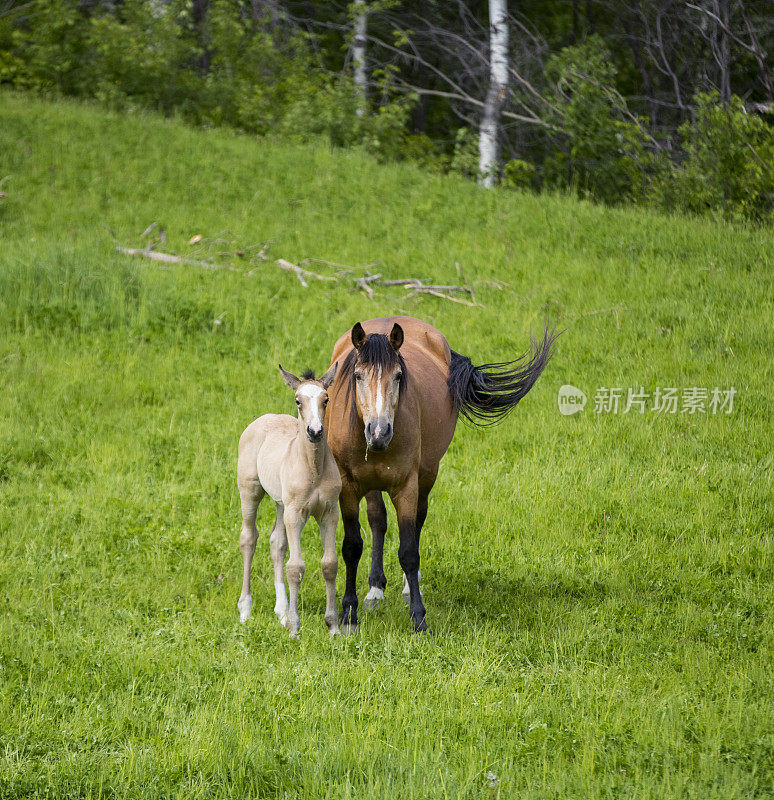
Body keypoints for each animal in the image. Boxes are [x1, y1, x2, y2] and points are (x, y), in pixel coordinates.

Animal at [238, 362, 342, 636]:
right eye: (298, 401)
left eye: (326, 399)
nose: (315, 432)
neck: (313, 468)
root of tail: (264, 418)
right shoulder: (296, 514)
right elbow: (295, 567)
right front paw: (295, 629)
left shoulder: (329, 513)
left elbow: (329, 564)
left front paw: (333, 626)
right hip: (250, 491)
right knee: (248, 538)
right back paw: (245, 609)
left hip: (280, 503)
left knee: (277, 543)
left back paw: (282, 611)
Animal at [324, 316, 556, 636]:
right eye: (357, 376)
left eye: (398, 376)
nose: (379, 432)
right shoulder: (348, 487)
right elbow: (352, 547)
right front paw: (348, 615)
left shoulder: (406, 487)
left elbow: (409, 550)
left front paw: (419, 619)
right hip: (371, 484)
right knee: (377, 520)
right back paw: (375, 589)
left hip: (426, 476)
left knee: (416, 525)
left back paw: (408, 586)